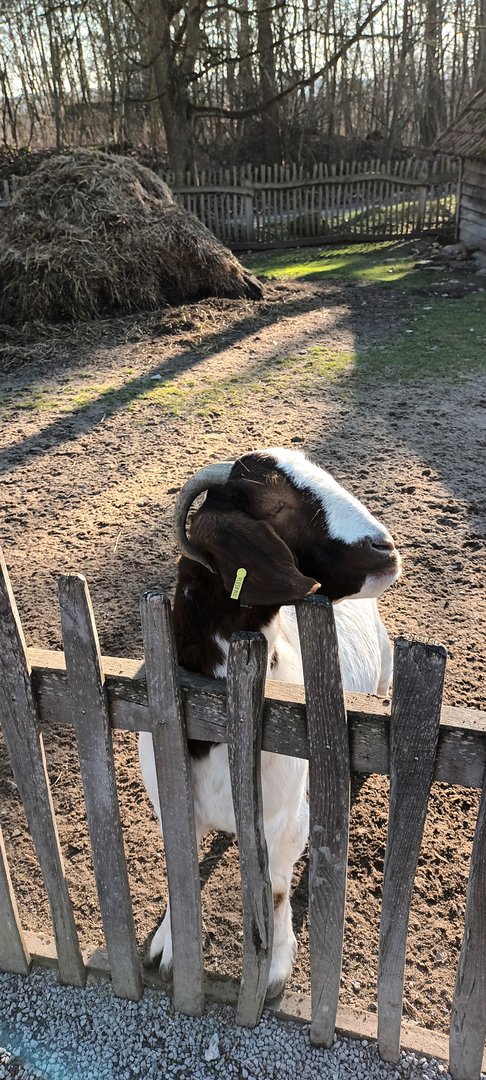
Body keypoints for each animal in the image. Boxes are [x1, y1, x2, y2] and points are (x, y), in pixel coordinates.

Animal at [139, 448, 401, 998]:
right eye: (276, 504)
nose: (385, 549)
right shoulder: (173, 807)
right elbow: (180, 867)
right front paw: (169, 945)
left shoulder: (287, 824)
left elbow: (277, 891)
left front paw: (277, 966)